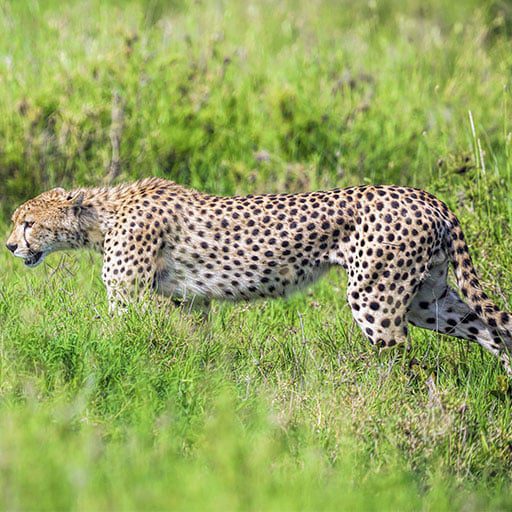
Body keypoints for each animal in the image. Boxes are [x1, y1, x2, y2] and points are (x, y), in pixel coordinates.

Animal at [6, 178, 512, 374]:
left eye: (27, 222)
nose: (9, 246)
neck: (101, 216)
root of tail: (426, 196)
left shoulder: (126, 297)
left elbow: (114, 340)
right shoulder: (190, 301)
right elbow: (194, 343)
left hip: (375, 297)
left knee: (403, 358)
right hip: (429, 298)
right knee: (491, 328)